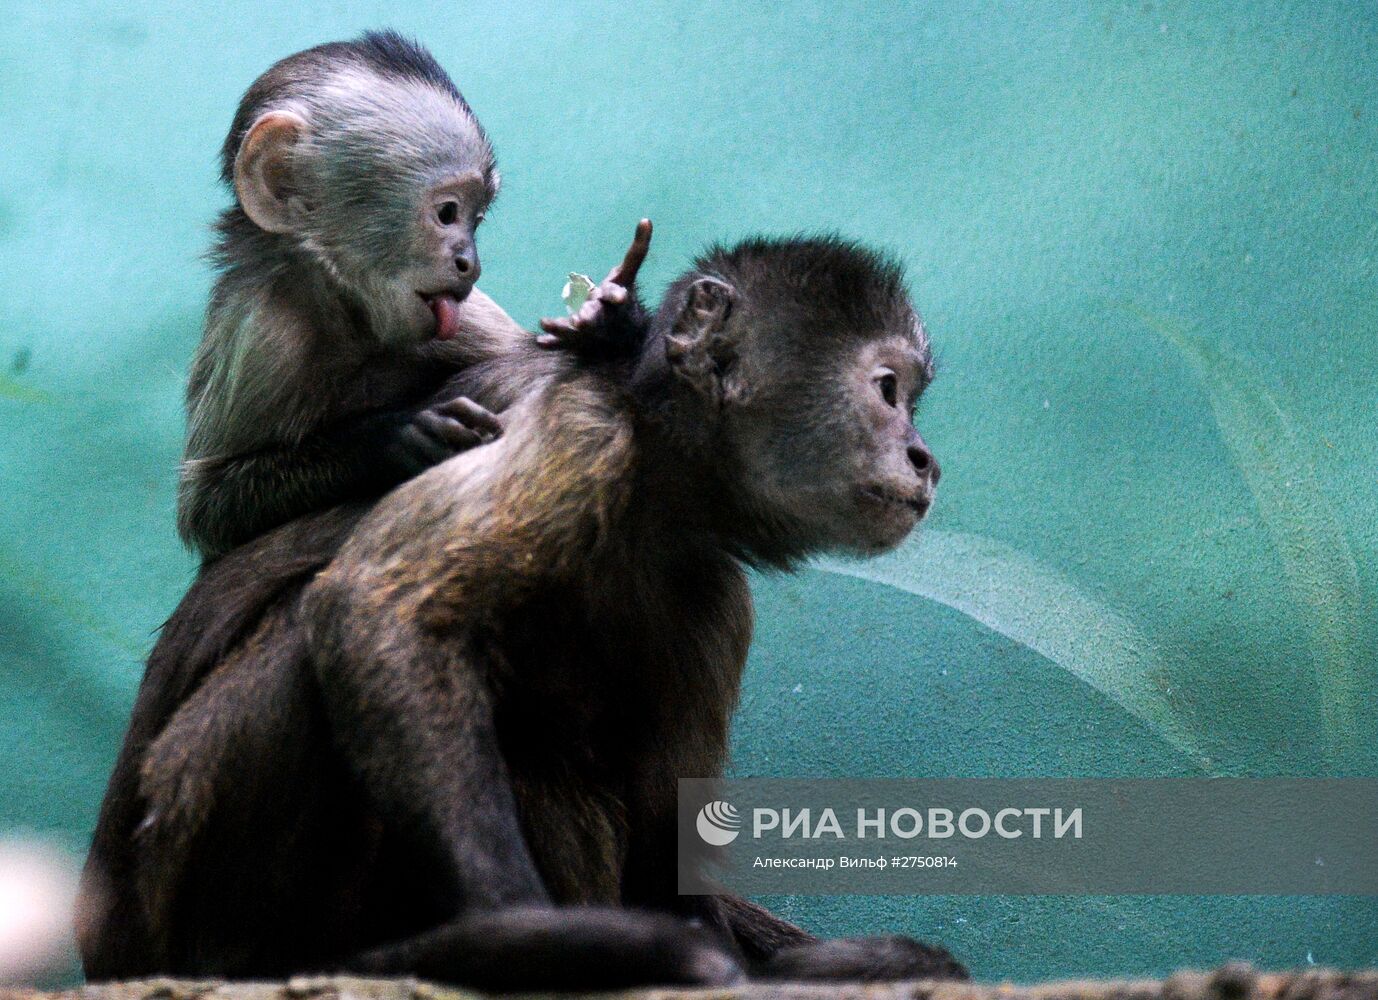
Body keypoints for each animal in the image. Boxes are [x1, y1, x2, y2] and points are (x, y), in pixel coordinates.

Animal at [78, 231, 959, 991]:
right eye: (888, 392)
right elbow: (374, 609)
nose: (925, 459)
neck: (655, 467)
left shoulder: (710, 586)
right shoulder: (577, 433)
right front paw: (536, 938)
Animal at [179, 31, 644, 559]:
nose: (470, 264)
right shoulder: (264, 331)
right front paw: (390, 438)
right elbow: (209, 510)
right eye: (447, 214)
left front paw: (605, 322)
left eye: (476, 220)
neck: (350, 314)